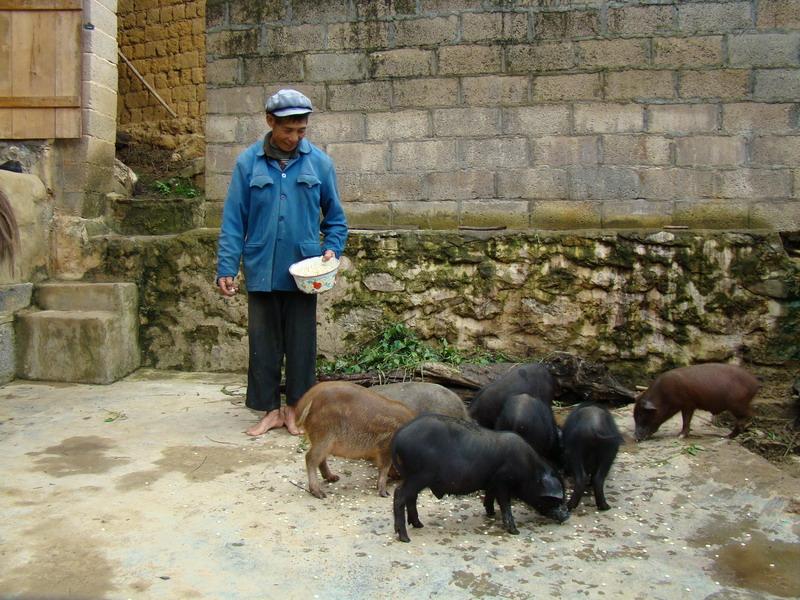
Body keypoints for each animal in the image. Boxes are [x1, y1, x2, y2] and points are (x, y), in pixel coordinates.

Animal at [392, 414, 568, 540]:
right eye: (555, 499)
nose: (566, 515)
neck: (528, 470)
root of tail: (398, 438)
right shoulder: (503, 481)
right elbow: (505, 503)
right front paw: (514, 531)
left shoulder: (493, 482)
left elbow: (490, 497)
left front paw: (491, 514)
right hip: (419, 475)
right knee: (399, 494)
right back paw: (405, 538)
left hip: (413, 476)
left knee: (410, 497)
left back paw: (418, 525)